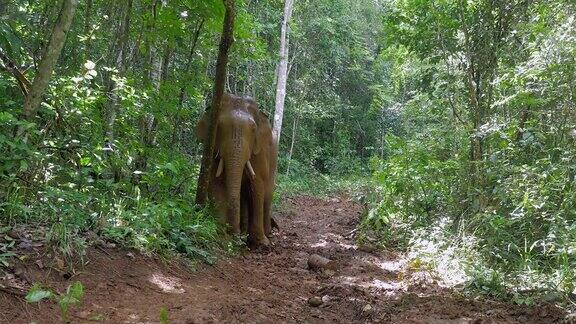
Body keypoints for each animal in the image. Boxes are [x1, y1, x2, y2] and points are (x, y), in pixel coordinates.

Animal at [197, 93, 278, 246]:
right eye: (219, 126)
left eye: (253, 129)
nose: (234, 233)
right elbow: (215, 182)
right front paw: (223, 235)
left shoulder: (260, 152)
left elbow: (258, 185)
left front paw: (261, 243)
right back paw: (245, 234)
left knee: (267, 194)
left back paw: (267, 234)